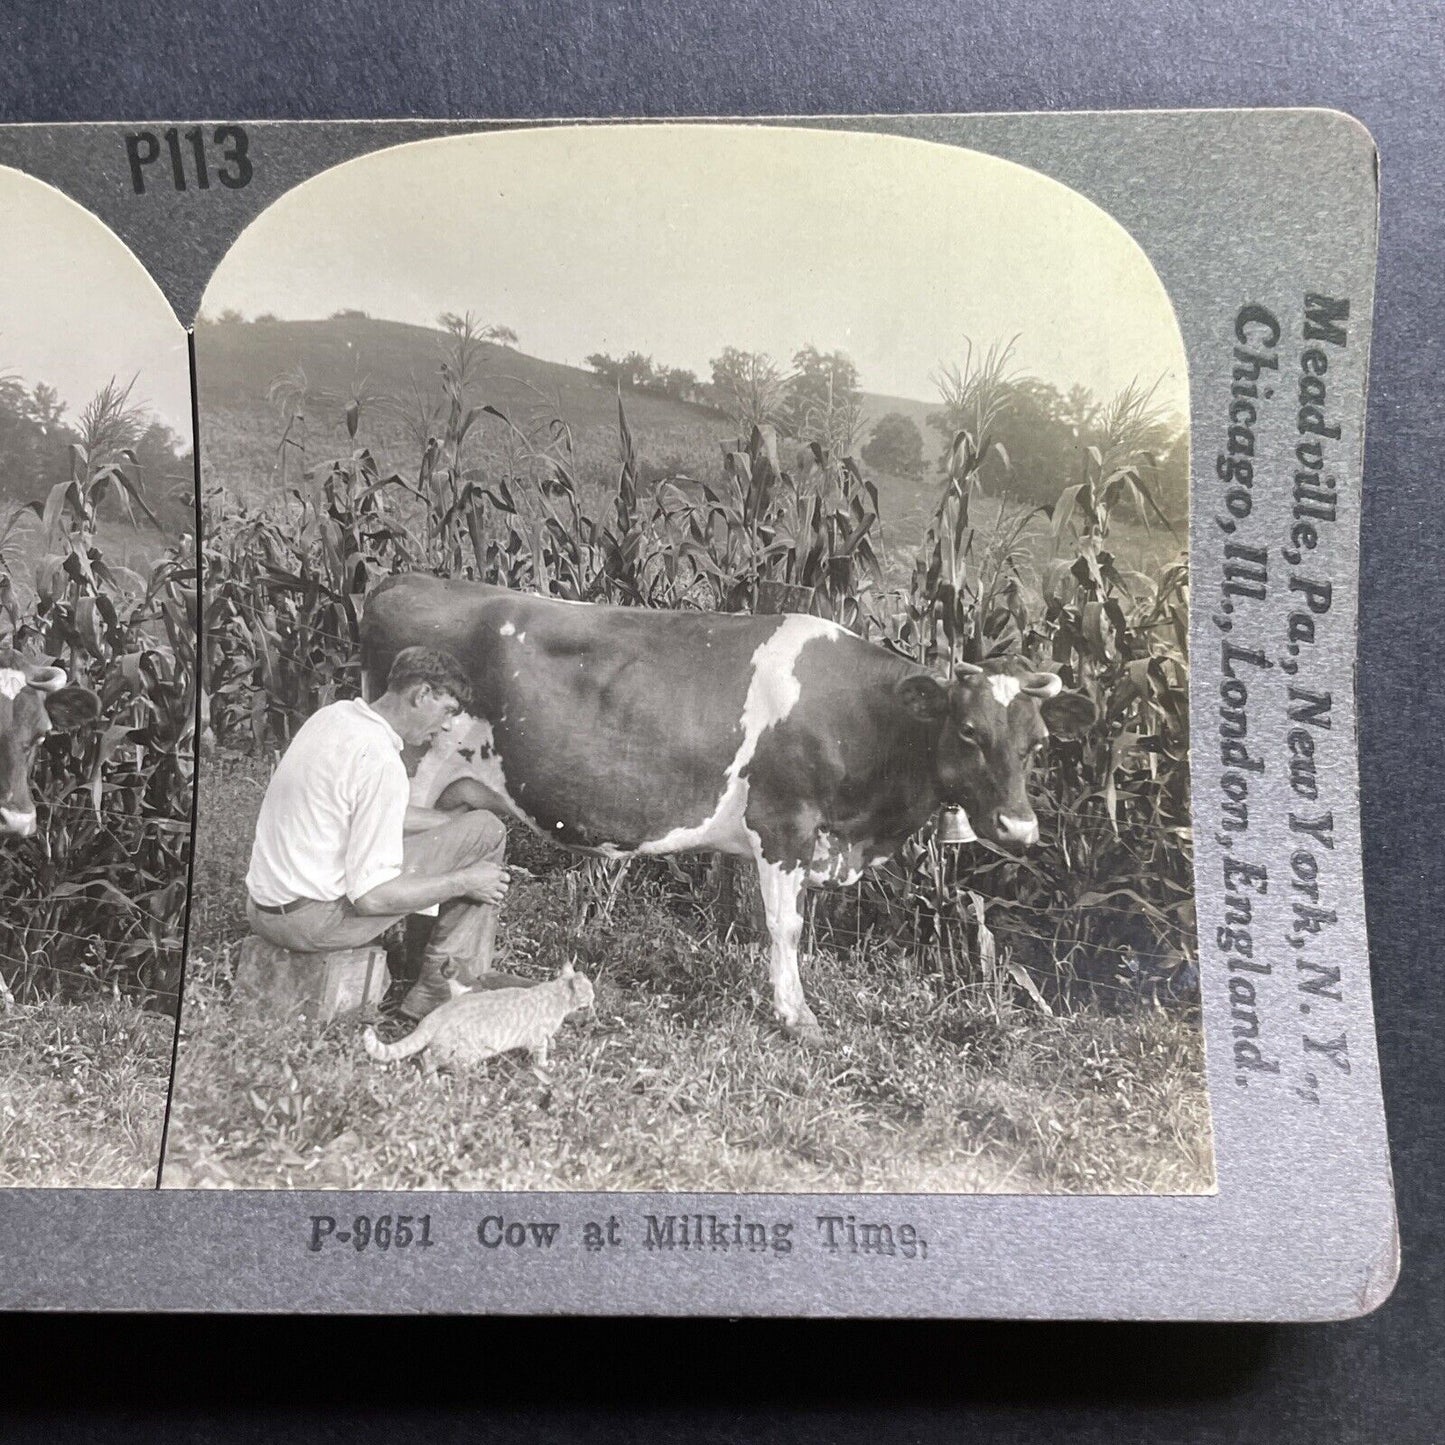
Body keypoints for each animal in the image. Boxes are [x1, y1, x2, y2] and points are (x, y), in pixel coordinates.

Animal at [361, 575, 1092, 1040]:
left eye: (1037, 741)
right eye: (968, 731)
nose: (1020, 828)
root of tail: (403, 580)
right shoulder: (784, 825)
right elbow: (785, 927)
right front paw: (797, 1016)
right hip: (413, 774)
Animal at [364, 959, 595, 1075]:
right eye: (590, 992)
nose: (595, 1001)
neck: (555, 993)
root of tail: (436, 1014)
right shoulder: (538, 1039)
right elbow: (541, 1056)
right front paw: (546, 1065)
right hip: (463, 1050)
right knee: (429, 1058)